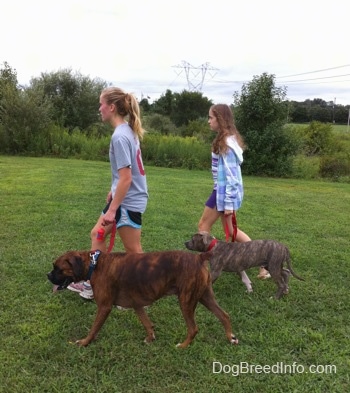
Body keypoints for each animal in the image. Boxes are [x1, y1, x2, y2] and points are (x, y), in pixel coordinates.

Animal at [47, 251, 238, 346]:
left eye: (58, 268)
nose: (48, 275)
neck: (95, 264)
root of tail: (199, 257)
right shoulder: (137, 304)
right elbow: (147, 323)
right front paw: (150, 338)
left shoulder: (104, 307)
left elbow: (94, 329)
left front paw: (84, 342)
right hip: (205, 297)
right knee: (224, 315)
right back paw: (230, 337)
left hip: (186, 302)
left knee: (193, 329)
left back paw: (183, 346)